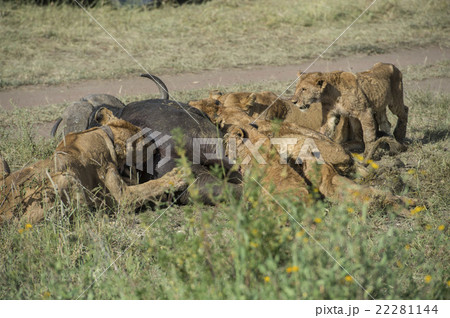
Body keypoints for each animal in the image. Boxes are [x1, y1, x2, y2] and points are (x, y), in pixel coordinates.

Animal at [0, 109, 186, 226]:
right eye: (145, 140)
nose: (155, 142)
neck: (106, 134)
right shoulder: (122, 196)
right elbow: (150, 186)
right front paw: (177, 177)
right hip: (67, 177)